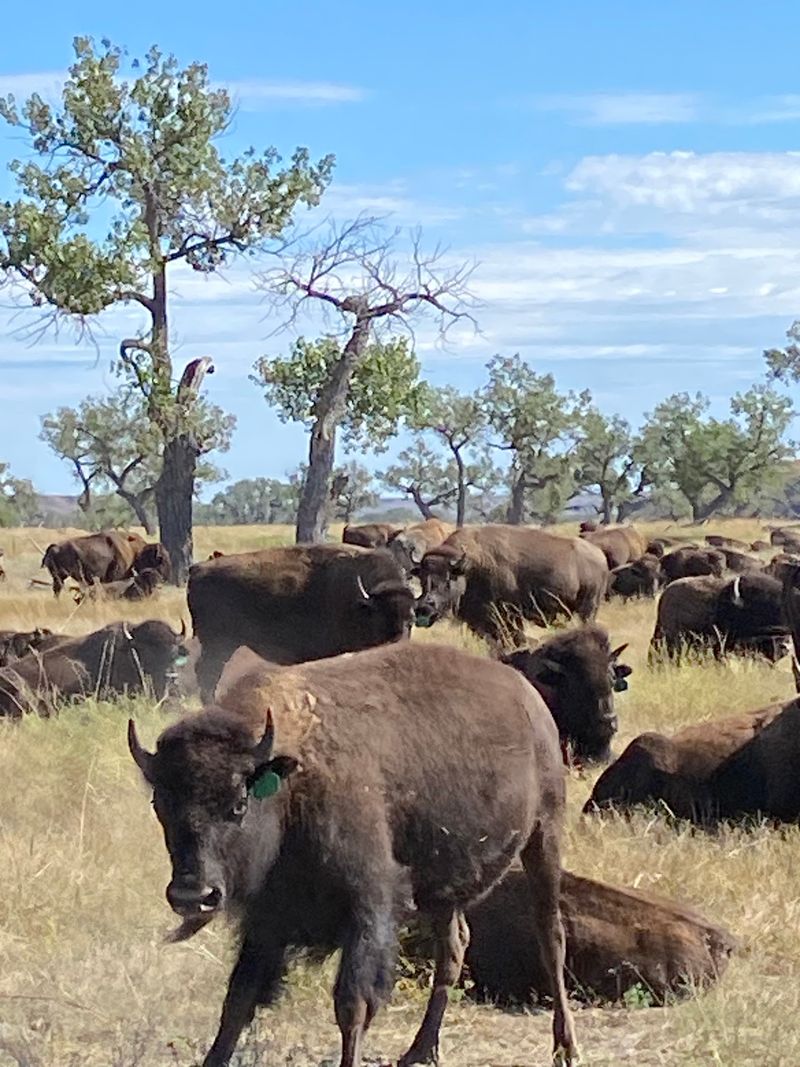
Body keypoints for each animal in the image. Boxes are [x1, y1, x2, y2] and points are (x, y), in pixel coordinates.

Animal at [128, 641, 578, 1066]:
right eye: (159, 804)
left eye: (239, 804)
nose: (193, 895)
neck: (290, 783)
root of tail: (528, 697)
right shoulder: (266, 920)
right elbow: (238, 1001)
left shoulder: (368, 906)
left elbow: (352, 1004)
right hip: (445, 887)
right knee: (453, 948)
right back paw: (421, 1050)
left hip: (545, 833)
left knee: (550, 936)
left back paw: (566, 1048)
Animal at [187, 544, 414, 702]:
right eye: (380, 617)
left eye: (411, 619)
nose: (398, 643)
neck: (362, 602)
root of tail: (197, 569)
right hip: (218, 644)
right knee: (207, 673)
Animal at [415, 525, 608, 647]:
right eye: (422, 579)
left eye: (448, 579)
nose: (424, 608)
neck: (470, 568)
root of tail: (600, 556)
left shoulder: (508, 616)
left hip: (588, 608)